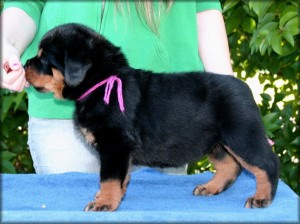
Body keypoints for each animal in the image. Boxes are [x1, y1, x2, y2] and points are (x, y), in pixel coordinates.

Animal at [24, 23, 280, 212]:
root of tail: (245, 87)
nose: (25, 64)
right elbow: (122, 176)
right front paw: (112, 197)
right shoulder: (121, 150)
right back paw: (210, 188)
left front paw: (104, 203)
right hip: (215, 142)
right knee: (230, 166)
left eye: (43, 59)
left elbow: (109, 177)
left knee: (266, 163)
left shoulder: (115, 144)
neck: (103, 82)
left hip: (242, 135)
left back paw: (261, 198)